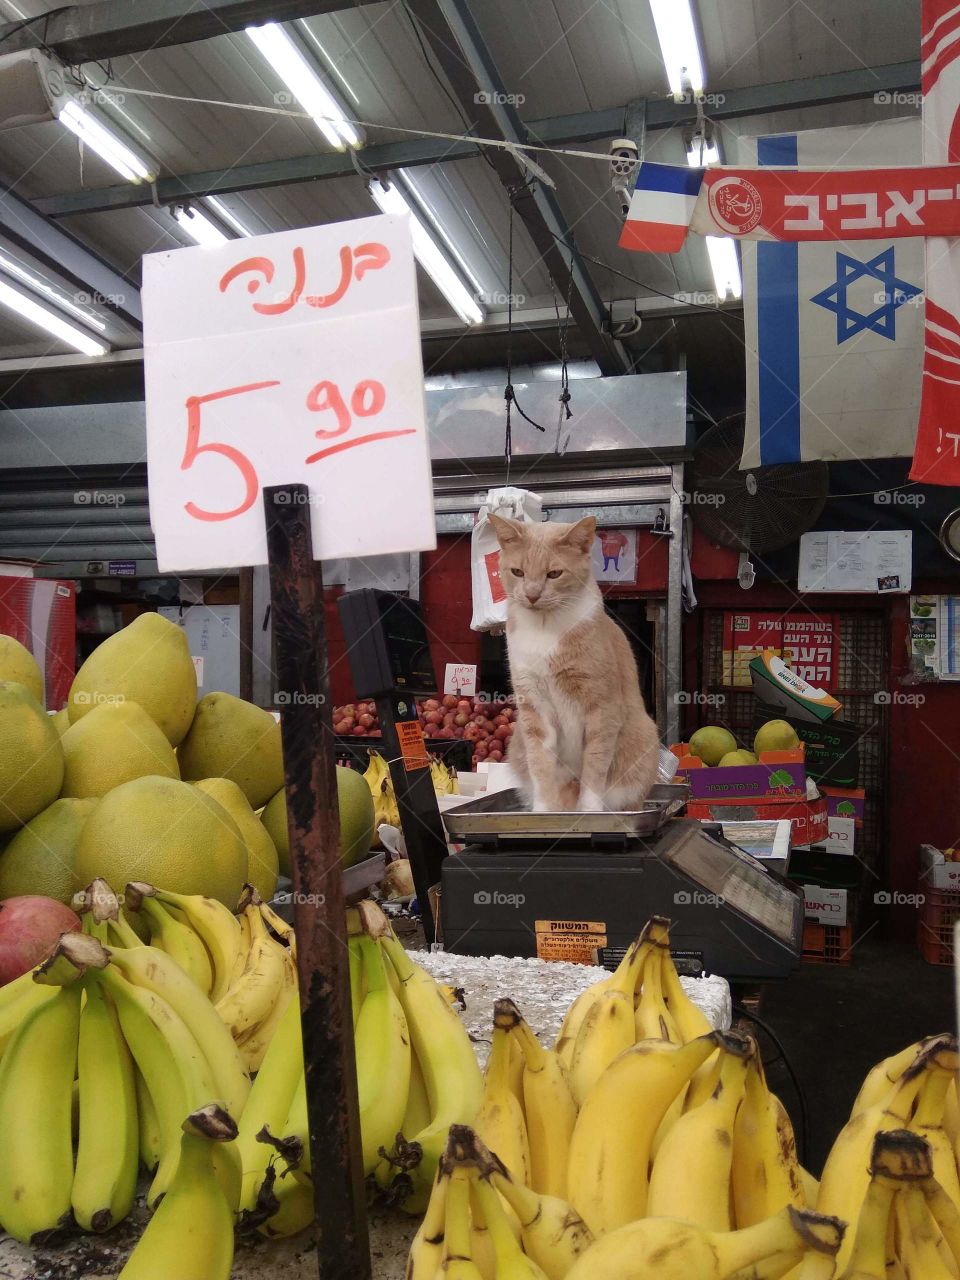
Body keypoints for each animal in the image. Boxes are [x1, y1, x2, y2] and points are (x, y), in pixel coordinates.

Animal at [488, 509, 660, 808]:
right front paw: (544, 811)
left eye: (554, 574)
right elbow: (540, 767)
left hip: (643, 737)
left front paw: (588, 811)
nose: (532, 595)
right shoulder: (534, 710)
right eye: (518, 572)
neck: (544, 629)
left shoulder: (601, 710)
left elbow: (594, 769)